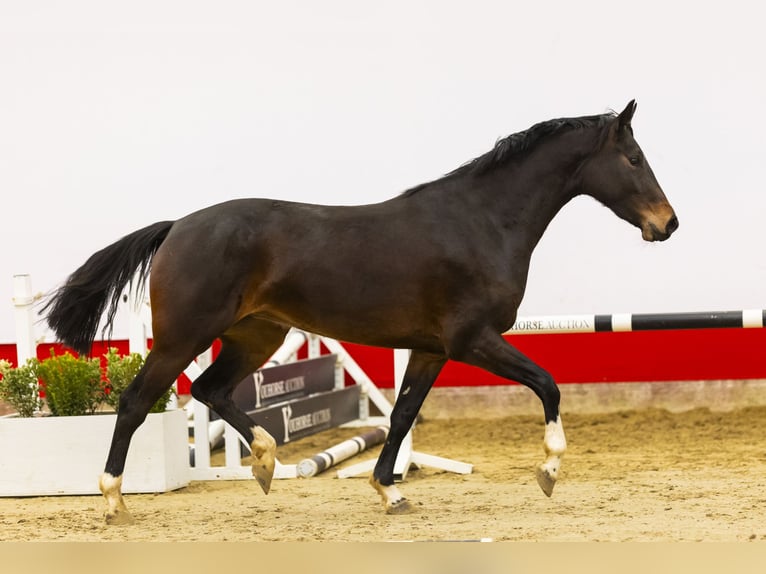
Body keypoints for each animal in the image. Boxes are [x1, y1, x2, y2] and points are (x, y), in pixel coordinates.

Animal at [42, 101, 680, 524]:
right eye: (633, 157)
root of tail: (177, 226)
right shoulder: (472, 340)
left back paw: (267, 463)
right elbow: (548, 384)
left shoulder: (430, 350)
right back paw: (114, 498)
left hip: (258, 336)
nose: (668, 224)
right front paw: (548, 473)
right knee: (137, 401)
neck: (480, 222)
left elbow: (400, 417)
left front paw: (390, 491)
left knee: (210, 390)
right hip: (184, 337)